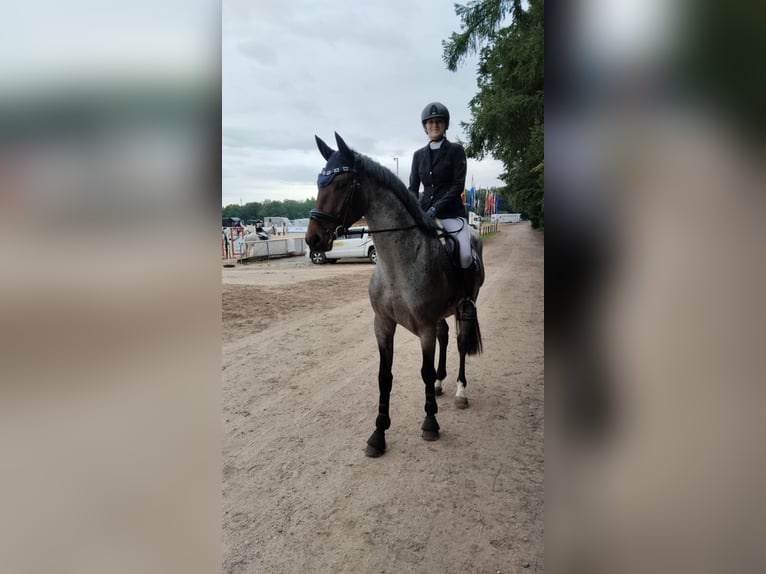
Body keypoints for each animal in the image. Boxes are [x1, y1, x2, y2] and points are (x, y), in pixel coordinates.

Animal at [306, 132, 484, 457]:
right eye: (318, 183)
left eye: (340, 184)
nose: (313, 239)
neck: (397, 264)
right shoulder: (383, 325)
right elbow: (384, 376)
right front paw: (378, 434)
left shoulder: (424, 327)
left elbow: (424, 370)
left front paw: (430, 422)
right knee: (445, 336)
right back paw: (440, 384)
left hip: (467, 305)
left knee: (461, 343)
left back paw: (459, 391)